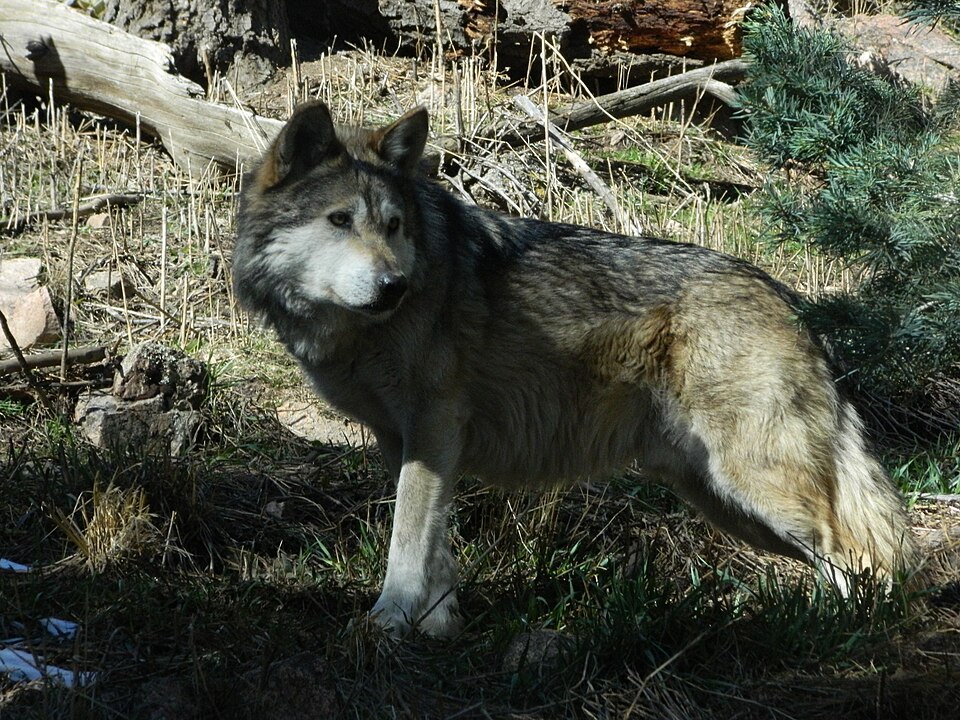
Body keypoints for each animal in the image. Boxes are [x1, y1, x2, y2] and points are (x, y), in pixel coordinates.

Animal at [233, 101, 916, 637]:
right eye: (340, 221)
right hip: (723, 499)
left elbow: (407, 540)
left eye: (393, 226)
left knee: (860, 553)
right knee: (847, 554)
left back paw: (845, 636)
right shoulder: (404, 440)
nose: (394, 286)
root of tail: (787, 299)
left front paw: (390, 622)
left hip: (755, 483)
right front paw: (441, 625)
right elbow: (435, 543)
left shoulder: (434, 427)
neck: (360, 334)